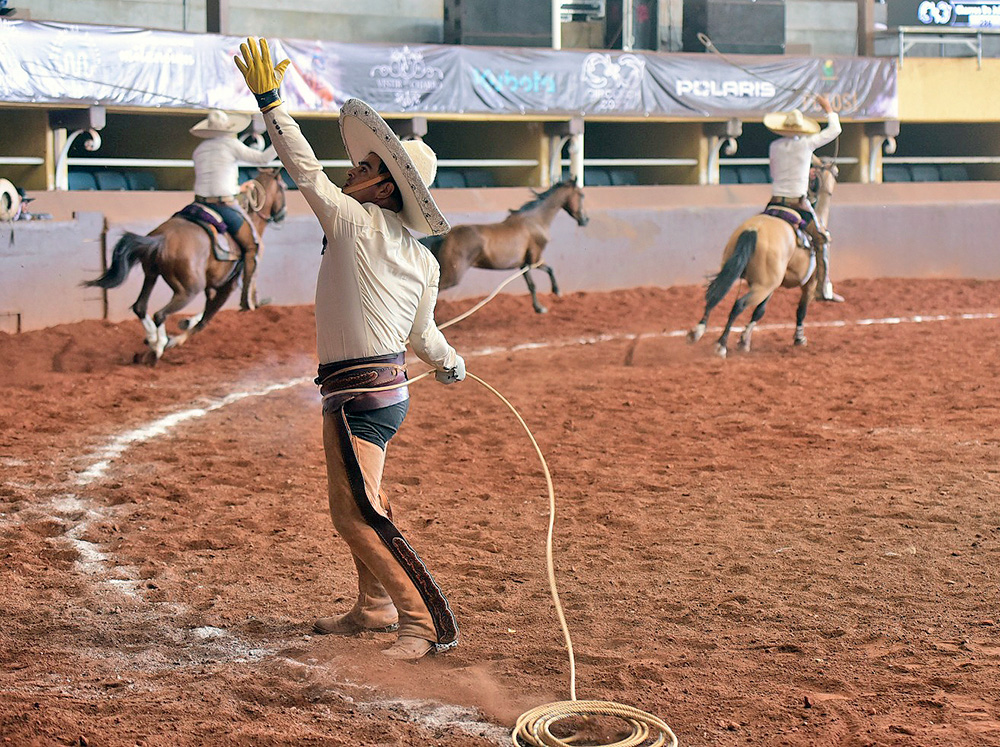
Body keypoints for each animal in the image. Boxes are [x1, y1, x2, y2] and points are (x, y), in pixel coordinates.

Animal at [82, 166, 288, 362]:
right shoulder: (228, 285)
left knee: (140, 307)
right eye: (284, 187)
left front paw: (184, 324)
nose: (283, 215)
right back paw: (159, 347)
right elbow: (205, 319)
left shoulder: (211, 285)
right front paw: (176, 339)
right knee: (160, 314)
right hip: (188, 290)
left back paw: (152, 339)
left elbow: (204, 313)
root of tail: (162, 239)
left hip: (151, 274)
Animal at [420, 180, 588, 314]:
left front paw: (539, 308)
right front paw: (557, 291)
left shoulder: (524, 264)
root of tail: (443, 236)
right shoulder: (534, 260)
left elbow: (532, 285)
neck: (536, 221)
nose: (585, 220)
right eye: (581, 195)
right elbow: (550, 270)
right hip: (452, 276)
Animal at [688, 159, 836, 360]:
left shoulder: (772, 287)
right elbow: (801, 310)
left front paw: (744, 340)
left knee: (715, 295)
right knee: (739, 304)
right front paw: (799, 338)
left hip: (744, 276)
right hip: (763, 286)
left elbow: (760, 311)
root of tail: (754, 230)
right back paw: (721, 345)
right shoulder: (809, 284)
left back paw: (697, 331)